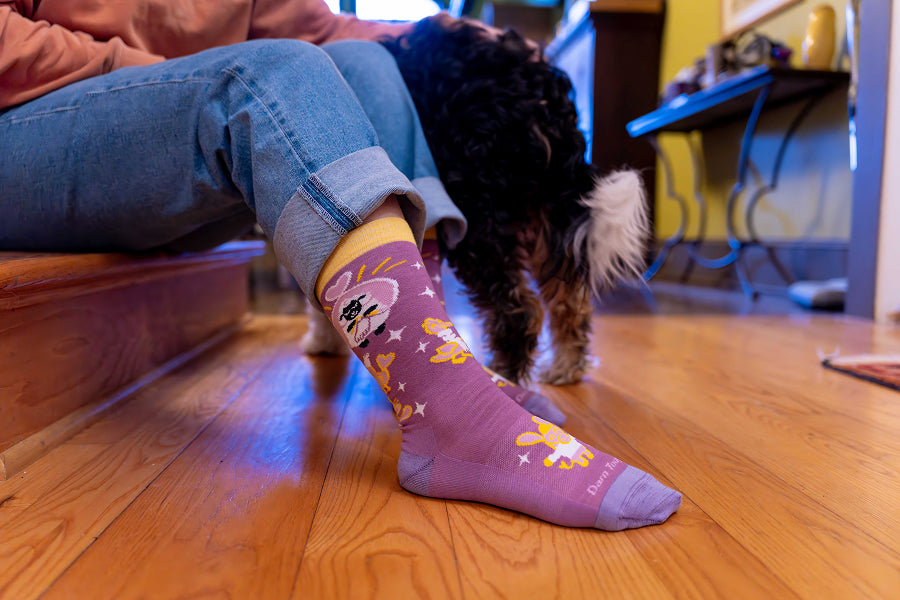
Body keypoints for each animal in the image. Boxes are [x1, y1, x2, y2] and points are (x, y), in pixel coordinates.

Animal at [308, 16, 648, 386]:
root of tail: (538, 89)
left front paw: (322, 341)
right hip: (547, 207)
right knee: (568, 296)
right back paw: (565, 367)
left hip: (478, 213)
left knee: (518, 310)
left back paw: (503, 376)